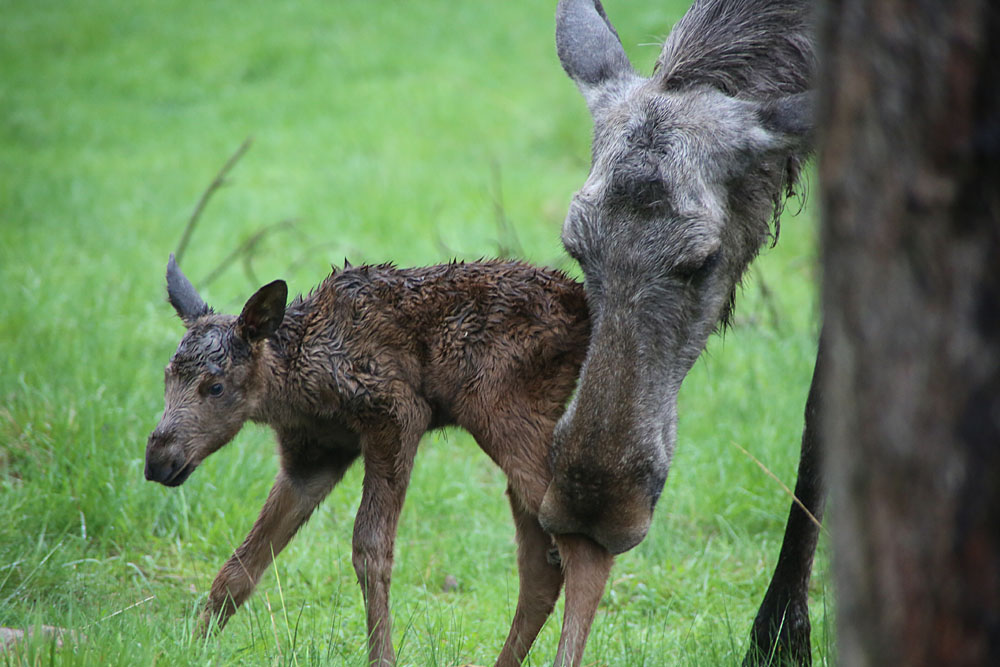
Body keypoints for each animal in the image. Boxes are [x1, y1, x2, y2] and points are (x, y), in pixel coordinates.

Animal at [146, 253, 616, 664]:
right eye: (167, 376)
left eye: (216, 386)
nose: (157, 460)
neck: (296, 384)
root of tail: (582, 306)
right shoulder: (311, 459)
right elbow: (241, 566)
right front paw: (193, 647)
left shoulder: (397, 413)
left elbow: (370, 548)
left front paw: (382, 658)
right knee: (541, 562)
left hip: (501, 411)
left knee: (583, 547)